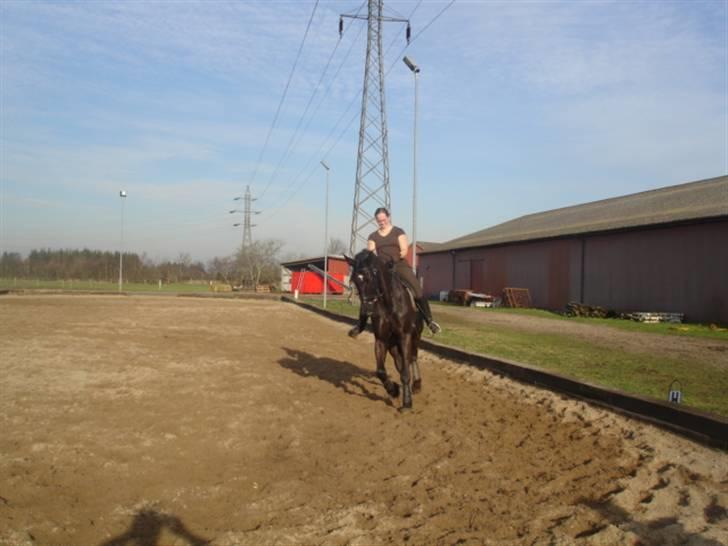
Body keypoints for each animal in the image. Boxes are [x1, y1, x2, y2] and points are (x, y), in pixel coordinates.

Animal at [348, 248, 426, 408]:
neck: (390, 305)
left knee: (413, 358)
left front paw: (407, 403)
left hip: (415, 337)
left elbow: (406, 372)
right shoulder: (381, 339)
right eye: (355, 280)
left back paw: (417, 384)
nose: (367, 309)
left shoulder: (405, 337)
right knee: (401, 363)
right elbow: (381, 371)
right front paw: (394, 390)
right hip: (393, 346)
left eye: (371, 276)